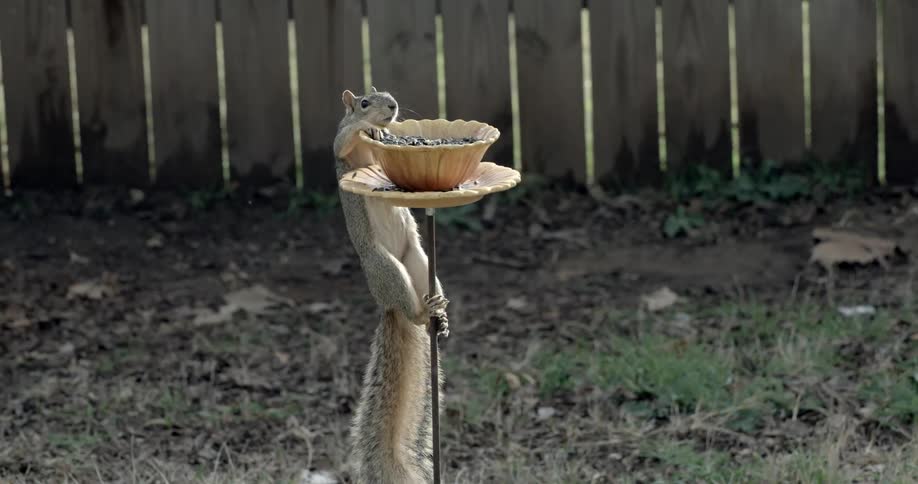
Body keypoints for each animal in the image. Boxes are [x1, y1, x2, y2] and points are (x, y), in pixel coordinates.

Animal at [334, 87, 449, 484]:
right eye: (364, 103)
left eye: (388, 94)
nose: (393, 107)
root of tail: (389, 305)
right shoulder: (342, 147)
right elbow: (343, 142)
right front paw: (369, 130)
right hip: (387, 267)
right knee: (411, 310)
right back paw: (422, 313)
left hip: (419, 260)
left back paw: (441, 311)